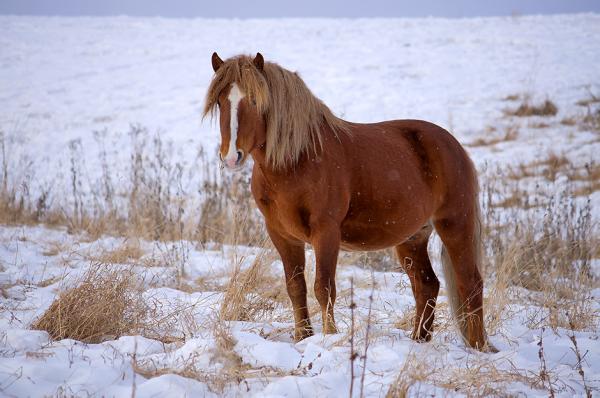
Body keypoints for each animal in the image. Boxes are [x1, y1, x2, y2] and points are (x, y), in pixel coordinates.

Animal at [204, 51, 494, 350]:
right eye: (219, 101)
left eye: (254, 100)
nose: (231, 156)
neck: (297, 161)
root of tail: (454, 145)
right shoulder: (282, 235)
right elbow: (295, 287)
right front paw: (302, 337)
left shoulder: (326, 233)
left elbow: (323, 288)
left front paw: (328, 338)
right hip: (412, 238)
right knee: (427, 285)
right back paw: (419, 340)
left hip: (455, 225)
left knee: (470, 283)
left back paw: (477, 347)